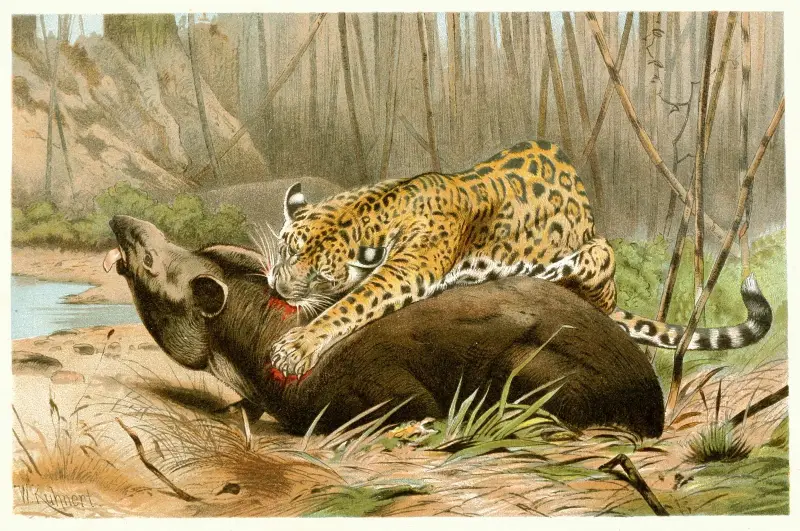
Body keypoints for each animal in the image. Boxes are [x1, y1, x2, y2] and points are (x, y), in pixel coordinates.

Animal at [266, 140, 772, 376]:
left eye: (318, 275)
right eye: (286, 250)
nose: (278, 288)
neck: (373, 207)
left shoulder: (409, 269)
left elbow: (354, 304)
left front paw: (298, 347)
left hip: (598, 255)